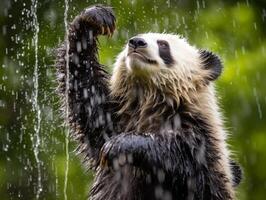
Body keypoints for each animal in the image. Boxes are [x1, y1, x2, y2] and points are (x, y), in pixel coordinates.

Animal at [55, 4, 241, 200]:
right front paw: (95, 18)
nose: (137, 42)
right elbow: (84, 92)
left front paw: (121, 145)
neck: (148, 99)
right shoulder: (113, 121)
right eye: (131, 40)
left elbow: (184, 160)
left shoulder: (202, 141)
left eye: (163, 44)